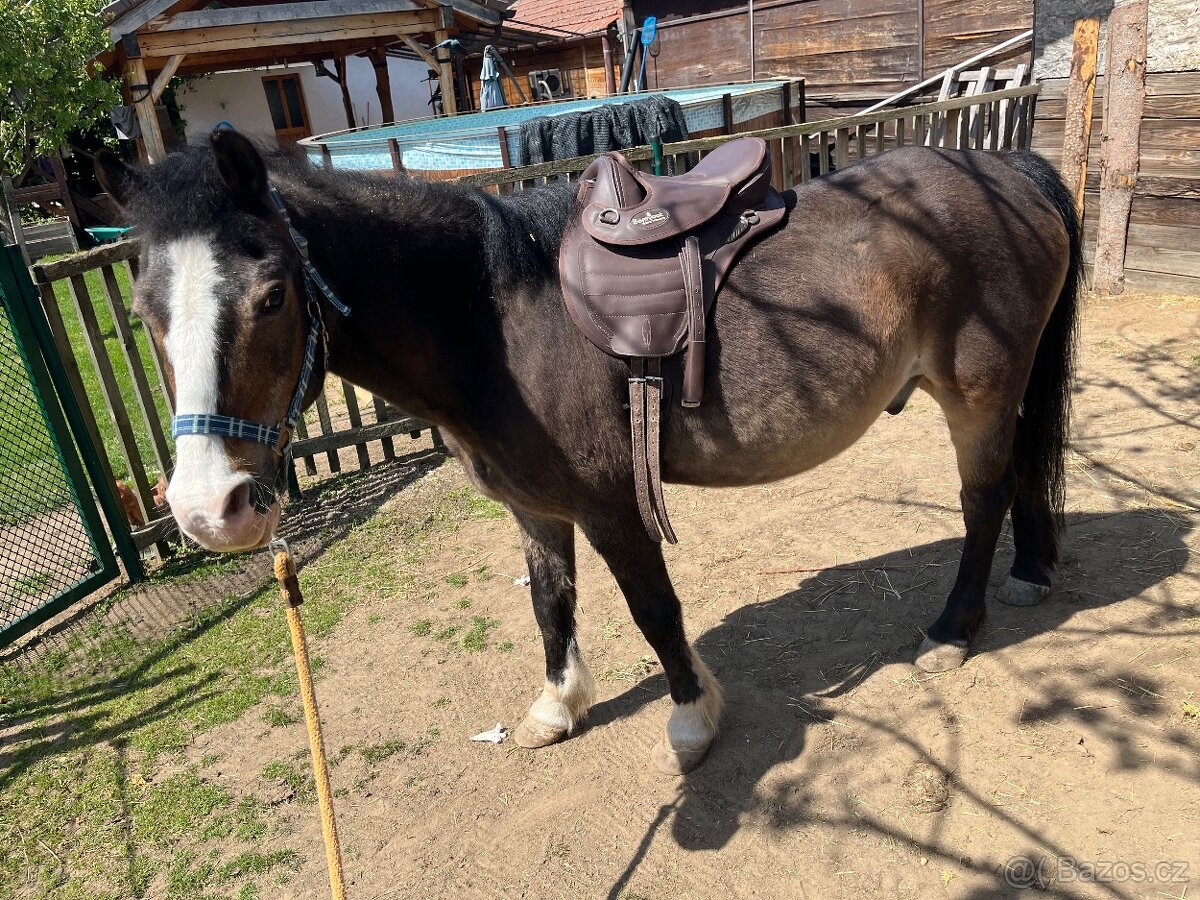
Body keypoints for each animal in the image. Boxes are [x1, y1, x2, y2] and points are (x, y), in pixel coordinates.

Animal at [95, 130, 1080, 775]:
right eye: (142, 311)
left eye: (270, 297)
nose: (207, 509)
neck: (493, 318)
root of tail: (1012, 169)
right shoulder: (536, 506)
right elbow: (549, 604)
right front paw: (557, 707)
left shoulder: (611, 505)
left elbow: (653, 610)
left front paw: (691, 721)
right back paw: (1031, 572)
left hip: (978, 396)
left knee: (983, 500)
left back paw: (954, 630)